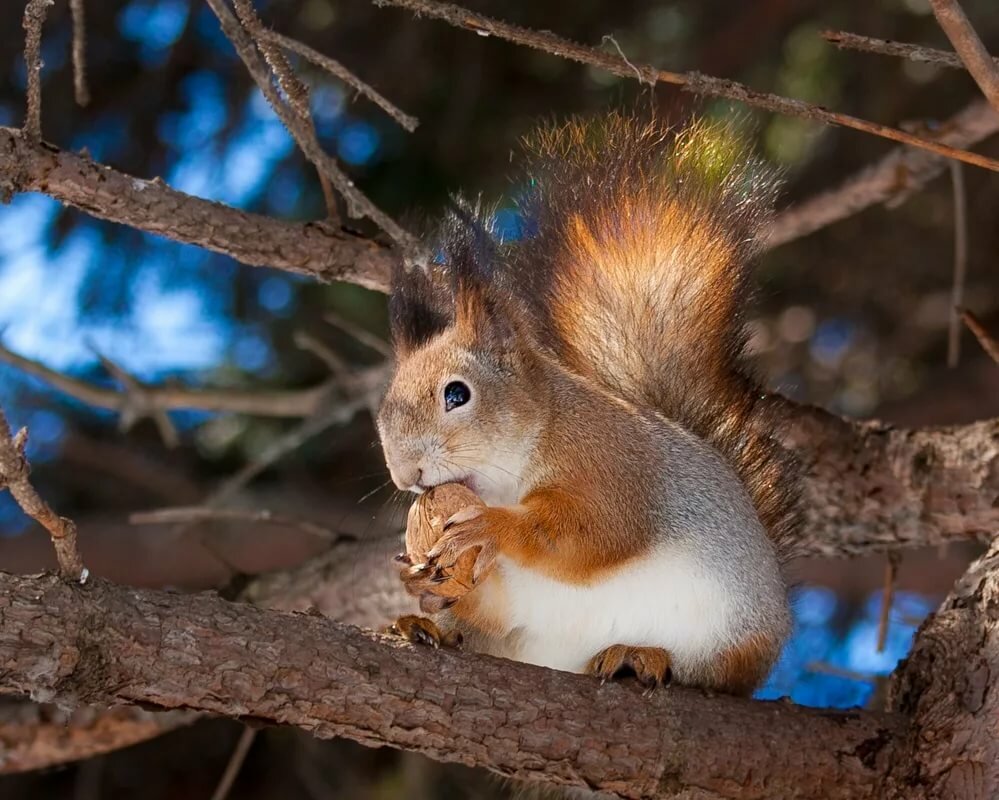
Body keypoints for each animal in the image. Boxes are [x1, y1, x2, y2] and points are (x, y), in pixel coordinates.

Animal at [378, 112, 800, 692]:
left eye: (457, 394)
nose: (405, 475)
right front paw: (417, 580)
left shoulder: (614, 462)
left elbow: (593, 532)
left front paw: (493, 527)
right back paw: (426, 628)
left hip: (728, 631)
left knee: (710, 674)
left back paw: (641, 654)